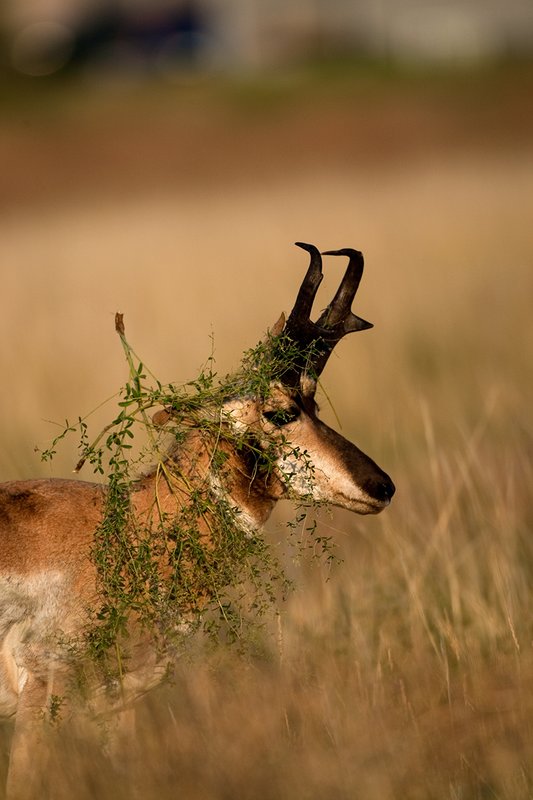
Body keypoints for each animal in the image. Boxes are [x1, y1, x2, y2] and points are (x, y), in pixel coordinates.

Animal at [0, 242, 394, 798]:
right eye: (280, 411)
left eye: (315, 402)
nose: (382, 487)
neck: (128, 527)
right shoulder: (43, 693)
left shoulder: (118, 703)